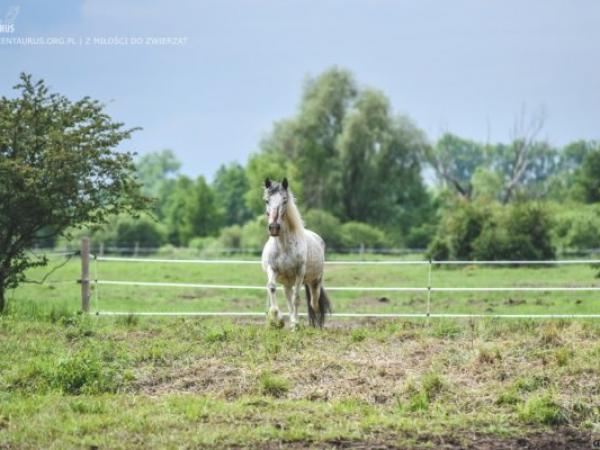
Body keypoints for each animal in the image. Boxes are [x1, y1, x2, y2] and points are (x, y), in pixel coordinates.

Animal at [260, 178, 330, 328]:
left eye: (284, 200)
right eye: (267, 200)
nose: (274, 228)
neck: (283, 246)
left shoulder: (299, 272)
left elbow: (296, 298)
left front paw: (296, 325)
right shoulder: (272, 269)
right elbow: (272, 288)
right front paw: (277, 319)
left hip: (315, 282)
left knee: (314, 304)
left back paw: (314, 326)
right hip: (287, 284)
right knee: (289, 301)